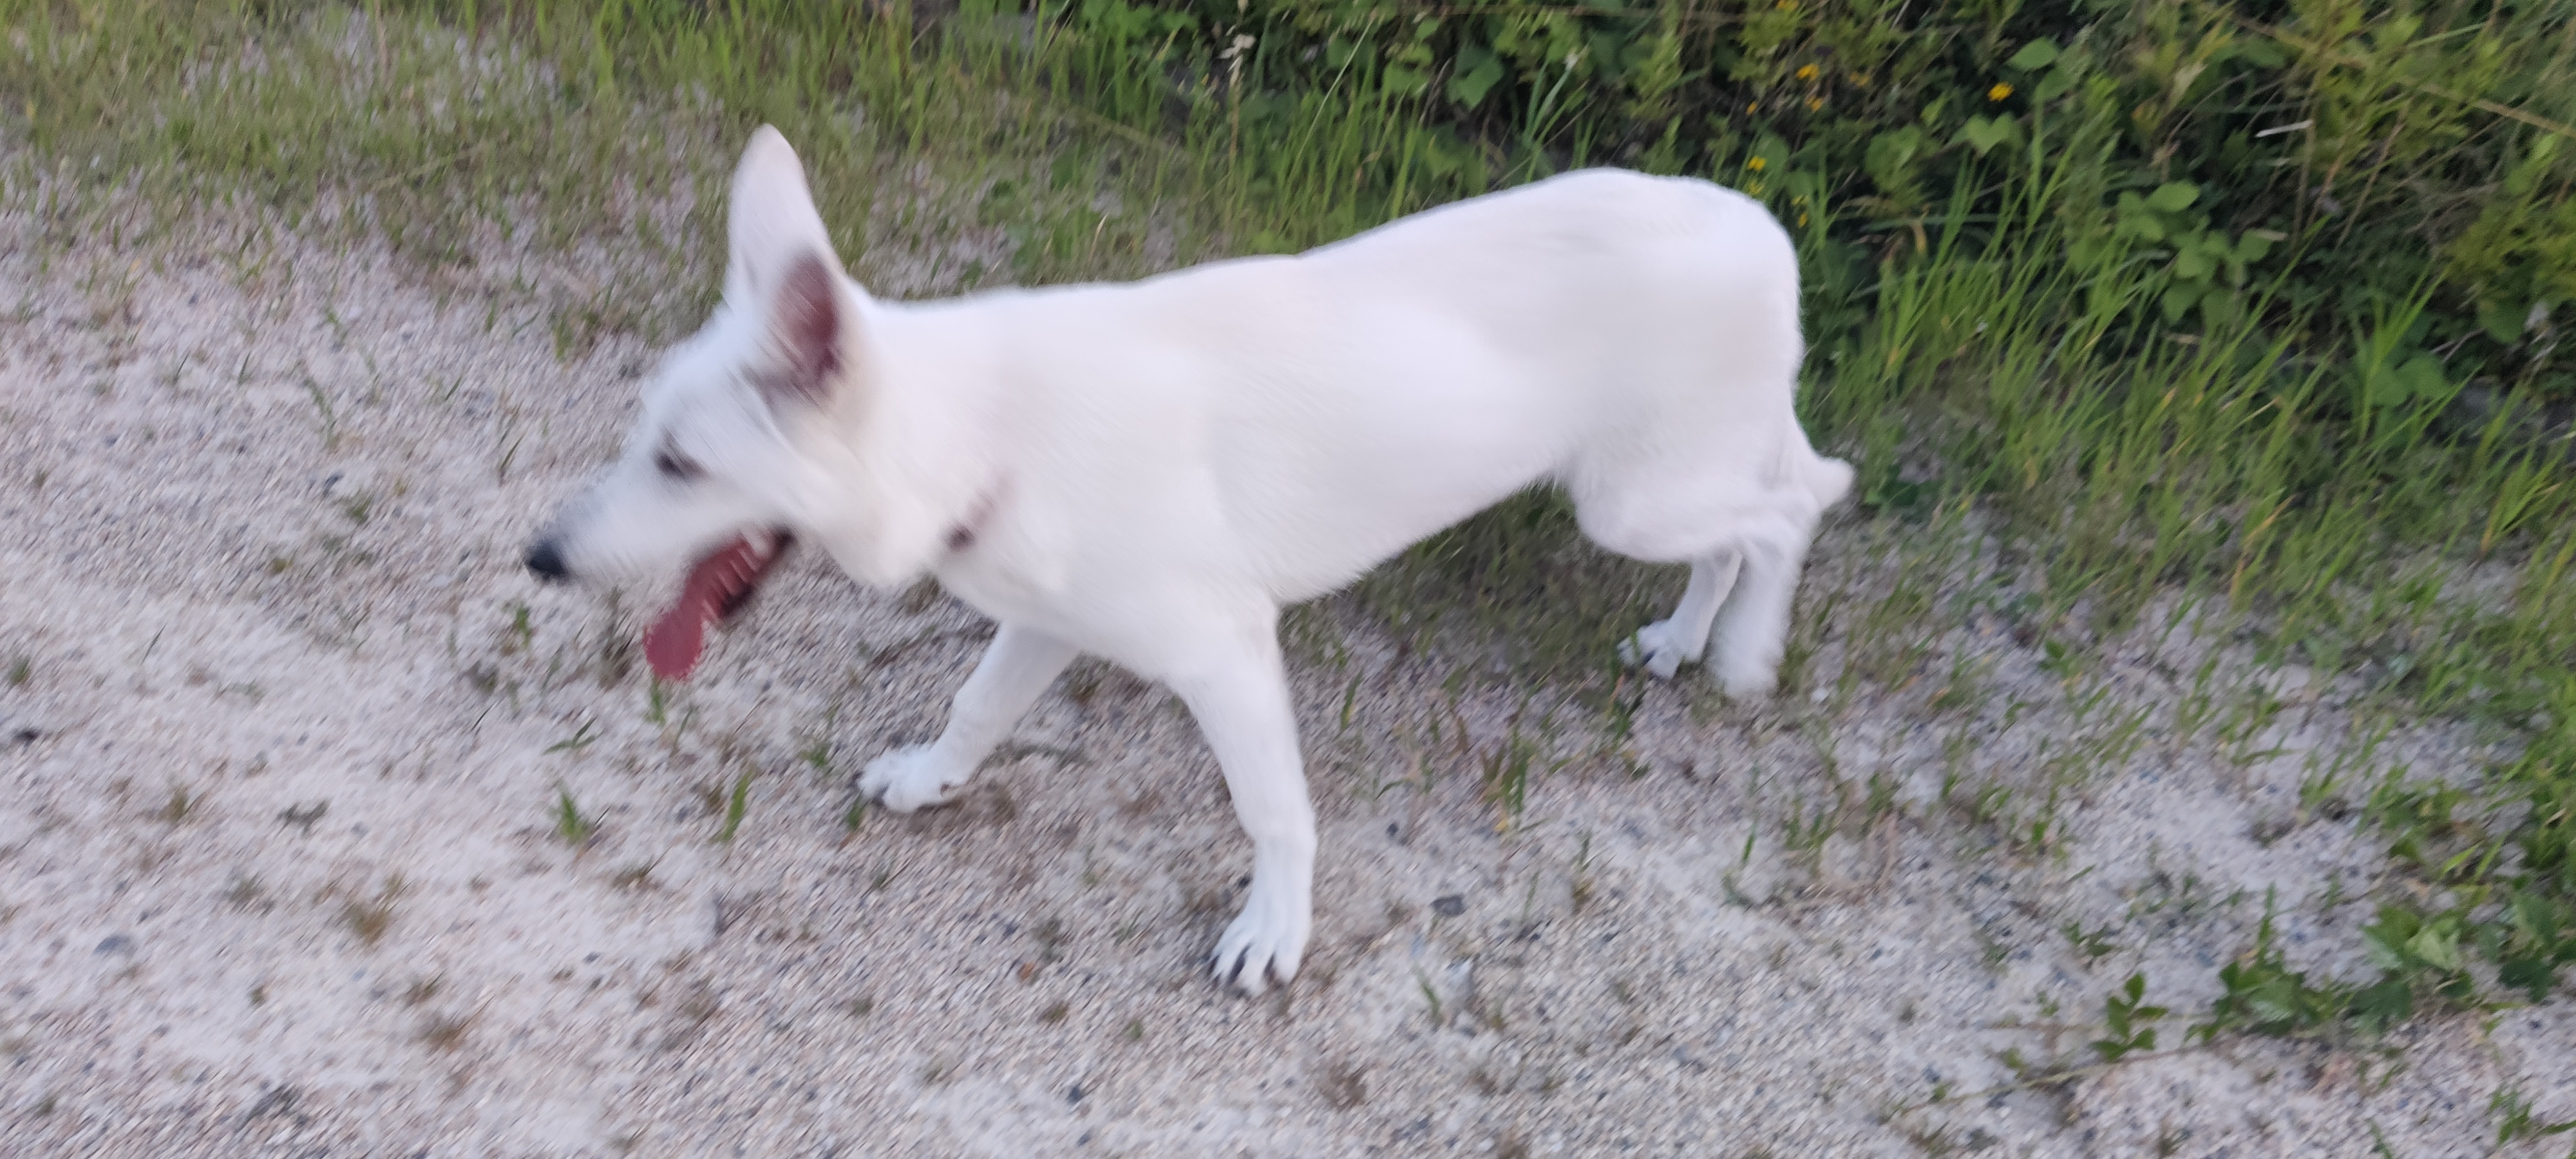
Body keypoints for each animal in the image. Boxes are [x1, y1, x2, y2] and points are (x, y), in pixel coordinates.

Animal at [524, 127, 1853, 995]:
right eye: (647, 439)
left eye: (681, 465)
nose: (538, 557)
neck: (984, 439)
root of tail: (1763, 227)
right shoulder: (1045, 620)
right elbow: (974, 707)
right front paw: (930, 778)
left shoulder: (1227, 654)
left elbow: (1276, 811)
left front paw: (1276, 931)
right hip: (1654, 494)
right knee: (1751, 524)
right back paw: (1684, 640)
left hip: (1634, 500)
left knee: (1794, 505)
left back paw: (1743, 654)